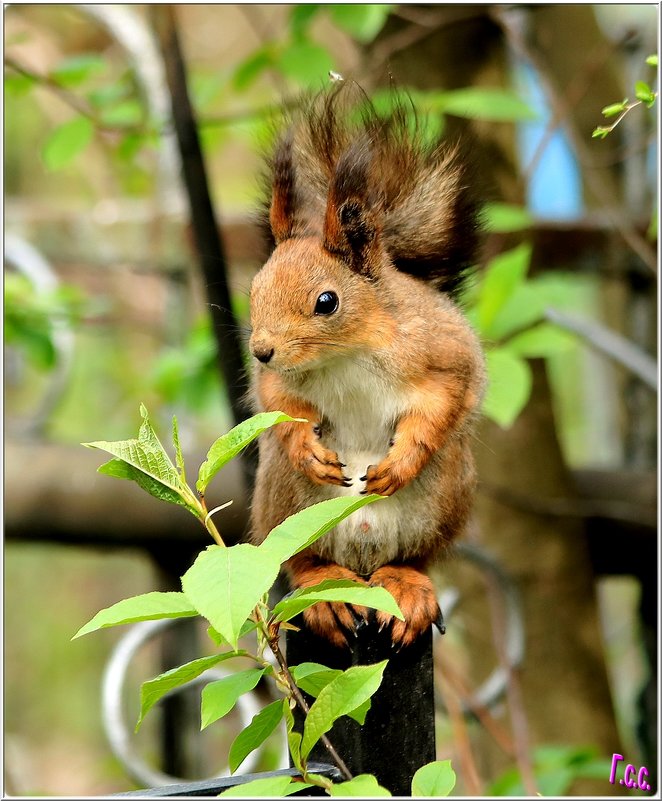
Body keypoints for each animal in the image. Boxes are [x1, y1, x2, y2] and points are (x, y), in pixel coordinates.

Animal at [249, 86, 488, 648]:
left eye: (327, 301)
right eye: (254, 288)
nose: (261, 350)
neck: (346, 354)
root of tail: (362, 557)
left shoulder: (440, 349)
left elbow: (448, 397)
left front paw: (402, 459)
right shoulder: (279, 381)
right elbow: (277, 402)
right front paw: (305, 447)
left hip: (443, 498)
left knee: (415, 557)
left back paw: (404, 584)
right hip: (282, 503)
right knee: (303, 562)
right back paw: (328, 593)